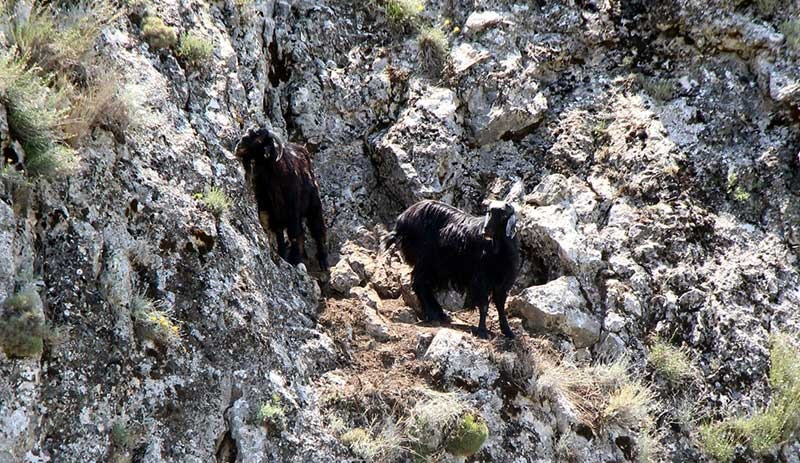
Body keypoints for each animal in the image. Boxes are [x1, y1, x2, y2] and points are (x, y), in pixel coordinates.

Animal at [234, 127, 328, 272]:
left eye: (259, 138)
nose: (239, 146)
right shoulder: (270, 209)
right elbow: (279, 234)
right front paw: (283, 255)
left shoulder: (293, 208)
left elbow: (294, 233)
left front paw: (295, 260)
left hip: (314, 204)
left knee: (317, 228)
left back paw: (323, 262)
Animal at [384, 200, 520, 340]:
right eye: (489, 212)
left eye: (504, 216)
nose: (486, 230)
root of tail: (402, 220)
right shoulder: (480, 279)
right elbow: (484, 305)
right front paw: (482, 332)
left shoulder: (503, 283)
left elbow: (500, 306)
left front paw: (508, 332)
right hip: (426, 261)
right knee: (420, 284)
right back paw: (434, 314)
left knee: (423, 285)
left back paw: (440, 314)